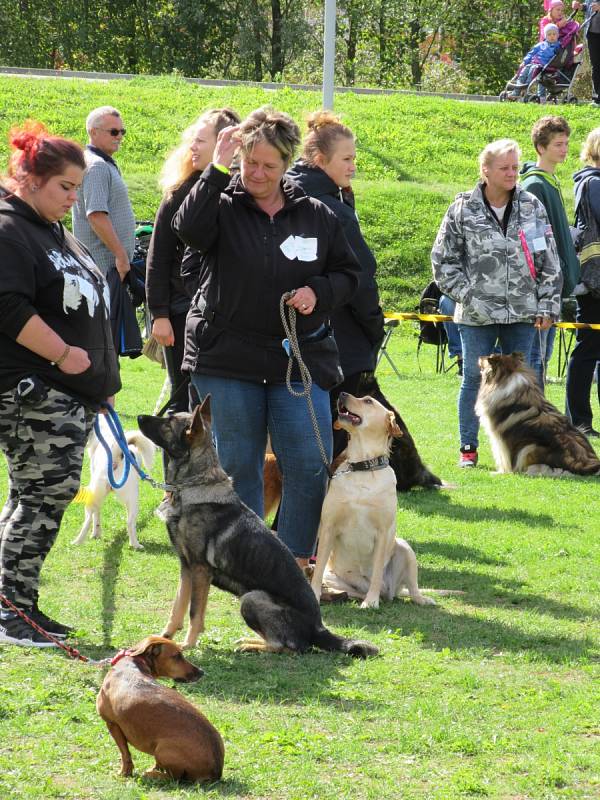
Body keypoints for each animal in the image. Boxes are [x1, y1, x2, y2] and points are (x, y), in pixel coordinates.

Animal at [72, 412, 156, 552]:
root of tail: (115, 456)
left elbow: (96, 516)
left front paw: (96, 533)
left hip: (93, 495)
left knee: (88, 519)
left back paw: (79, 541)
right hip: (133, 499)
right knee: (130, 523)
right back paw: (135, 544)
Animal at [97, 636, 224, 780]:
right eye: (177, 656)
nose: (202, 672)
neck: (133, 662)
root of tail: (216, 772)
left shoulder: (112, 724)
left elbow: (125, 754)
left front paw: (124, 773)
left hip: (162, 749)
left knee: (175, 778)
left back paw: (152, 774)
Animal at [138, 398, 378, 656]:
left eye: (168, 422)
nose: (140, 417)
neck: (194, 485)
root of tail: (319, 628)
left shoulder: (200, 570)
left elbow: (195, 612)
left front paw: (189, 644)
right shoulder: (186, 567)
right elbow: (178, 606)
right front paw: (166, 637)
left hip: (251, 598)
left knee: (288, 646)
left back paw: (251, 644)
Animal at [310, 390, 436, 608]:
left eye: (368, 401)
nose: (342, 393)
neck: (363, 466)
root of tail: (390, 592)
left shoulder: (383, 533)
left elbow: (377, 572)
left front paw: (371, 601)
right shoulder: (328, 527)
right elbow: (316, 571)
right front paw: (314, 595)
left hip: (405, 548)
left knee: (412, 589)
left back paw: (418, 599)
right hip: (334, 576)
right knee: (347, 590)